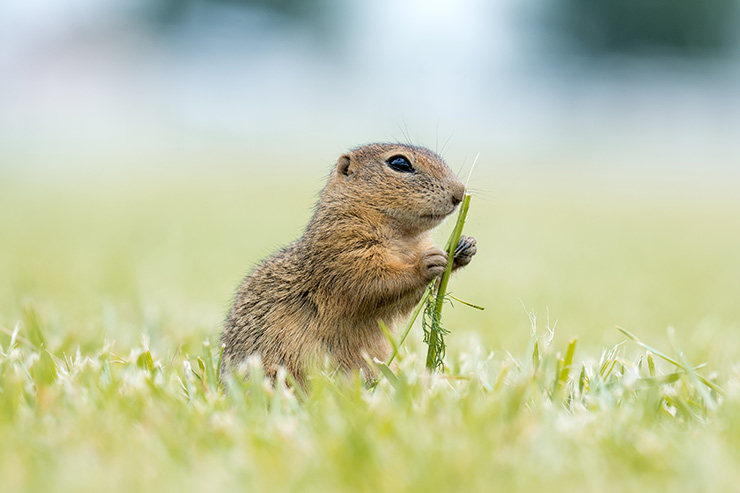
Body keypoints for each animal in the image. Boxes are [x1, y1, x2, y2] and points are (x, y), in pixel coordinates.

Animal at [220, 142, 476, 384]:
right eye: (399, 163)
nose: (460, 192)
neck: (403, 237)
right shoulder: (343, 250)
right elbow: (370, 283)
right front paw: (426, 264)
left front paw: (463, 247)